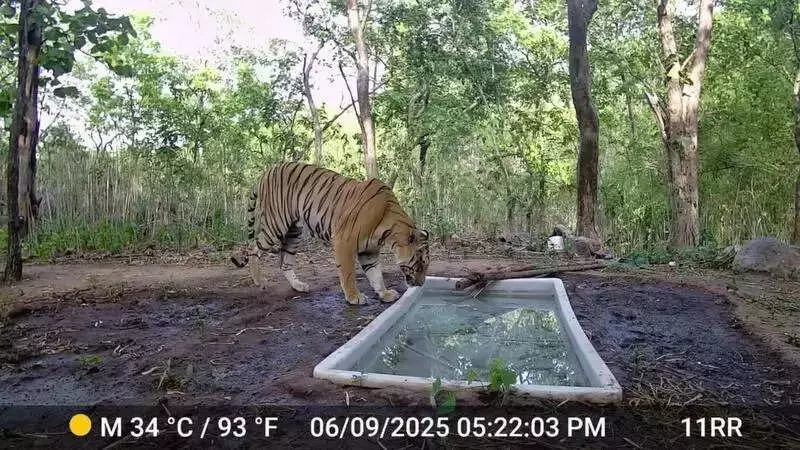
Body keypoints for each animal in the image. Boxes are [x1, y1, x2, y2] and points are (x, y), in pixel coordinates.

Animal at [230, 162, 430, 305]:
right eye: (420, 263)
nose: (421, 285)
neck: (389, 232)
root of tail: (267, 171)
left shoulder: (369, 251)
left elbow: (376, 274)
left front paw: (384, 293)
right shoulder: (344, 241)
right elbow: (348, 273)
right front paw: (354, 297)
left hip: (294, 232)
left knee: (284, 262)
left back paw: (298, 286)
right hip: (276, 225)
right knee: (253, 248)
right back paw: (259, 280)